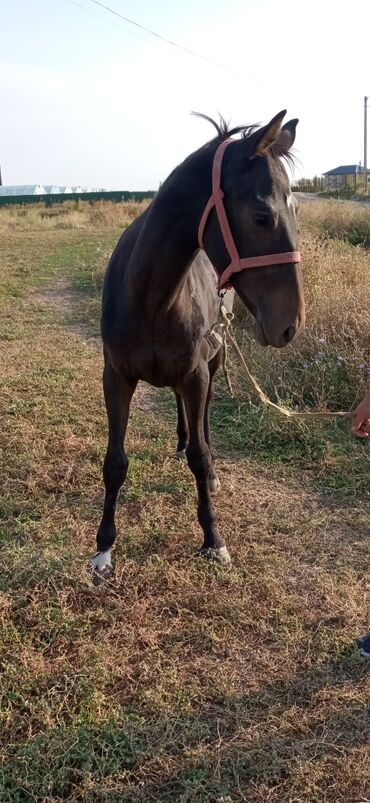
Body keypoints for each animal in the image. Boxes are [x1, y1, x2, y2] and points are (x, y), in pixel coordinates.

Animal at [91, 110, 304, 580]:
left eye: (296, 209)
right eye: (262, 217)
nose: (290, 325)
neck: (150, 296)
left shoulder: (196, 374)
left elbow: (201, 457)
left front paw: (213, 539)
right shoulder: (116, 378)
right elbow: (115, 463)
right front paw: (103, 549)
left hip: (215, 360)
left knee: (203, 421)